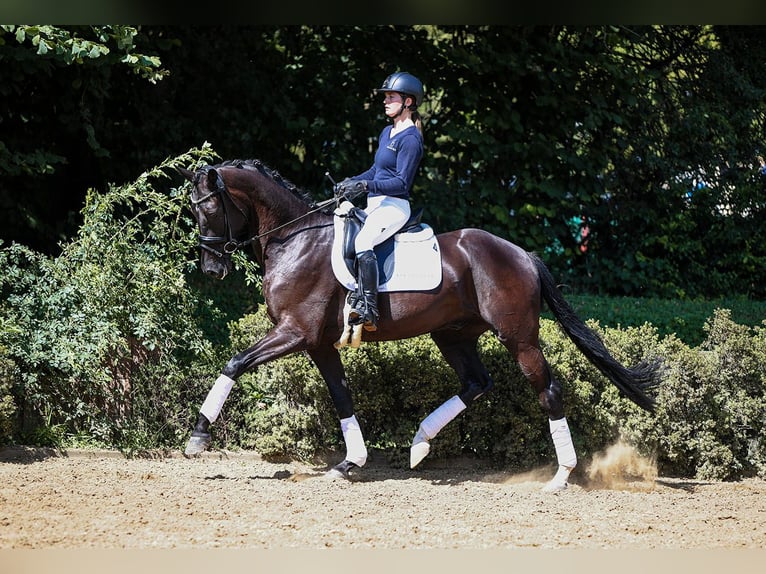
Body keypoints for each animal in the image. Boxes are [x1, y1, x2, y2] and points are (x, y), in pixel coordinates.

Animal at [178, 158, 661, 492]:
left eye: (210, 209)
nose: (212, 269)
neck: (294, 240)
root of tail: (521, 253)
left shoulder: (295, 333)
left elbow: (235, 363)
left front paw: (197, 436)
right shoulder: (318, 343)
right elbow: (341, 396)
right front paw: (349, 463)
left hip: (519, 338)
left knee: (547, 390)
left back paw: (560, 475)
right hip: (452, 334)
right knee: (476, 383)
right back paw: (419, 444)